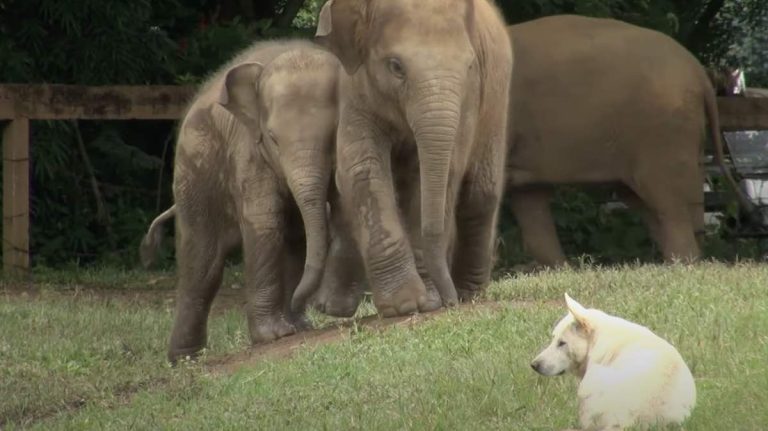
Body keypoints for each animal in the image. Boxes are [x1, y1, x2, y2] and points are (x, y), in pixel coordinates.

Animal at [141, 40, 340, 363]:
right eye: (272, 138)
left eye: (334, 135)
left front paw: (293, 328)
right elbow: (264, 222)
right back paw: (186, 358)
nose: (313, 308)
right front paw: (273, 336)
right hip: (193, 177)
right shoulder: (247, 149)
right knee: (203, 264)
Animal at [295, 0, 514, 318]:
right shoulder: (355, 87)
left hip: (497, 98)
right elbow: (360, 168)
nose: (449, 301)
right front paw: (404, 305)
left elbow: (440, 172)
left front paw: (426, 302)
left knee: (479, 194)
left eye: (470, 65)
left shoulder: (471, 95)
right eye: (395, 66)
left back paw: (468, 293)